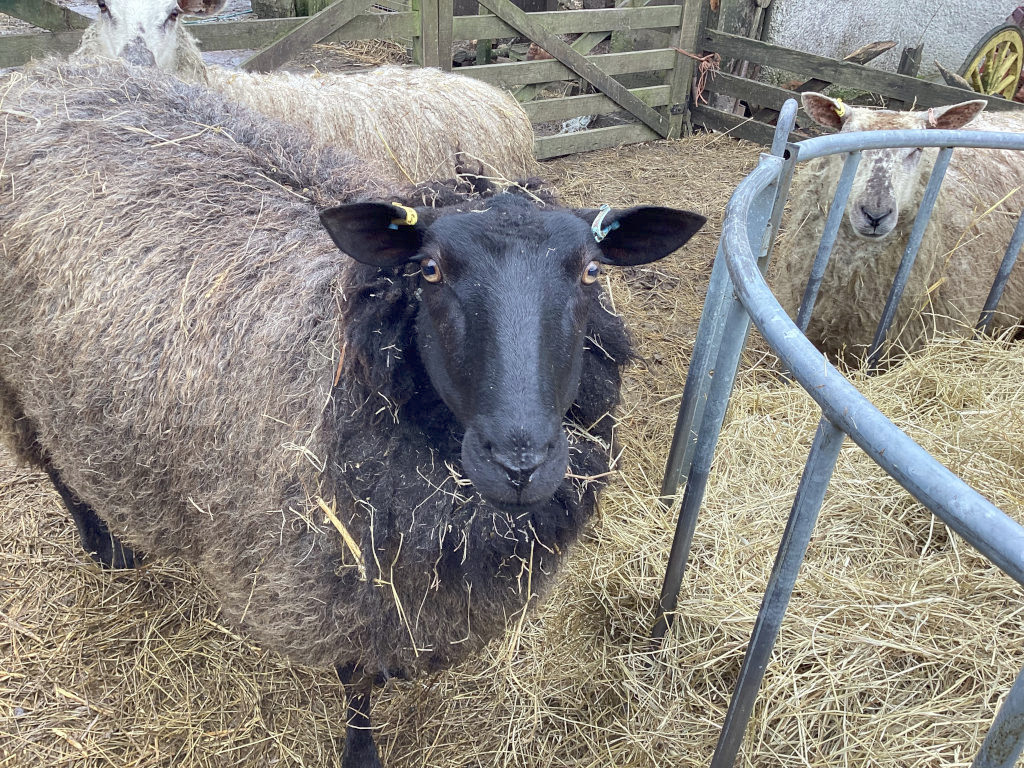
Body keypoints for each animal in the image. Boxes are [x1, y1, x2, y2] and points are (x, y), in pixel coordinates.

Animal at [0, 58, 705, 767]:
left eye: (592, 271)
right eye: (427, 270)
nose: (520, 461)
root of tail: (45, 76)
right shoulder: (339, 582)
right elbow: (357, 678)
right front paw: (360, 750)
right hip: (21, 382)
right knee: (54, 464)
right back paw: (105, 545)